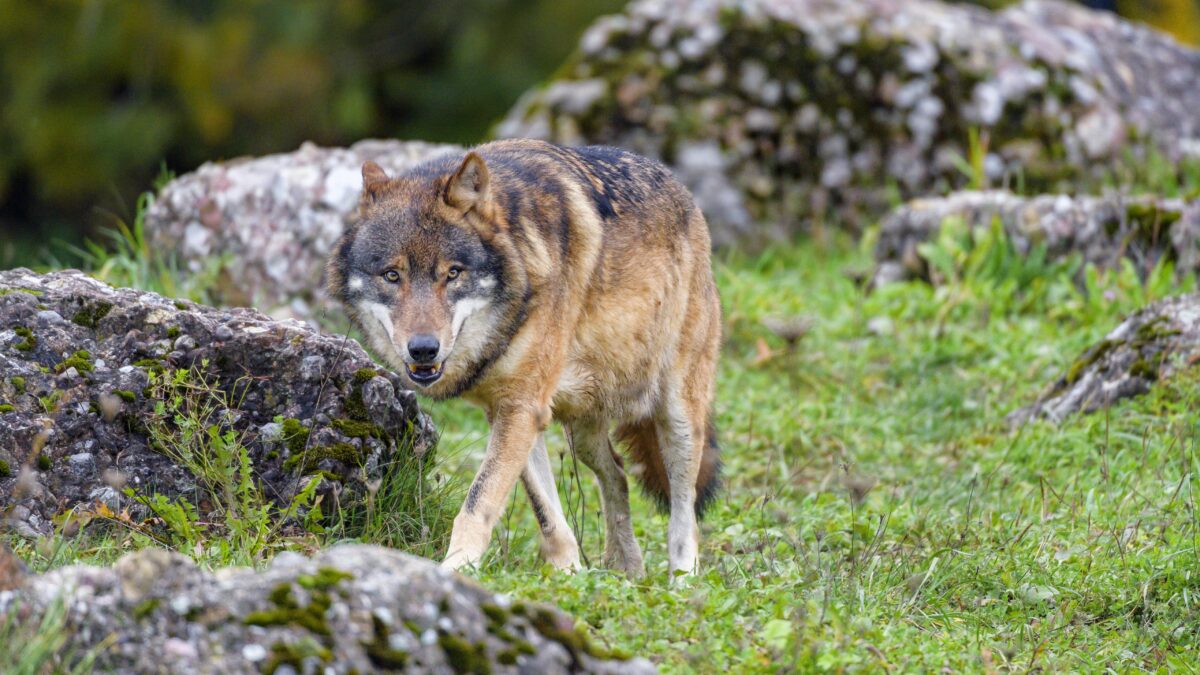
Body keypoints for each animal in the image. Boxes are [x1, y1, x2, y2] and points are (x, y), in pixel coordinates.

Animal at [326, 139, 721, 579]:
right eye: (392, 276)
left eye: (453, 273)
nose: (424, 348)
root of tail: (682, 191)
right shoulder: (511, 409)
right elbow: (548, 515)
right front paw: (569, 575)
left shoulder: (521, 406)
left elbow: (478, 503)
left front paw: (454, 570)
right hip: (582, 429)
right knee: (617, 475)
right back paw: (625, 570)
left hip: (678, 417)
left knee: (684, 507)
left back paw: (682, 578)